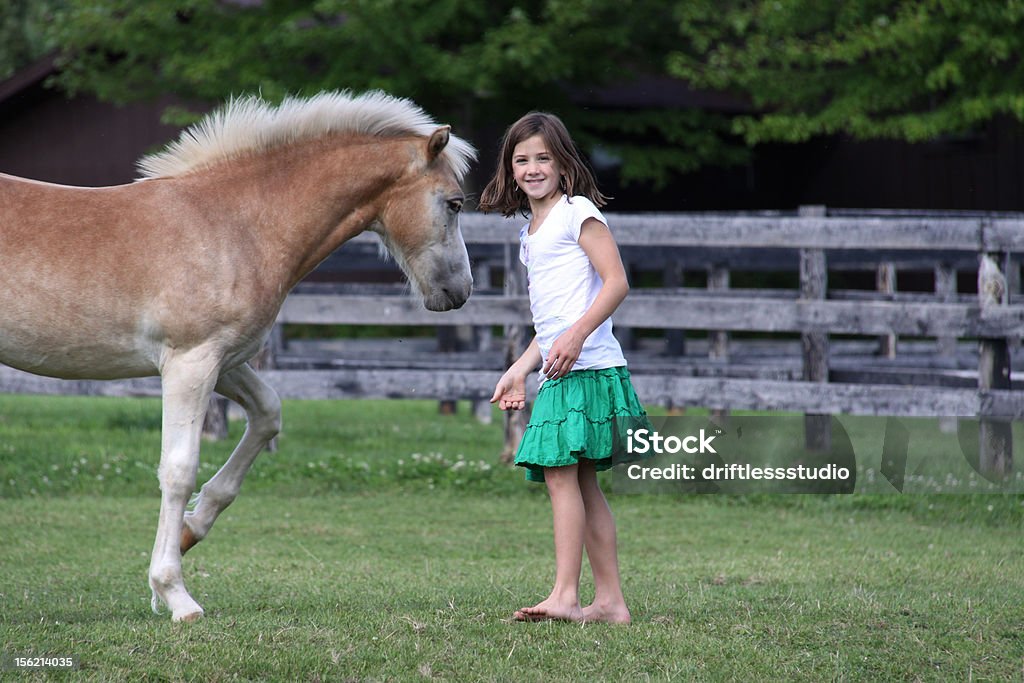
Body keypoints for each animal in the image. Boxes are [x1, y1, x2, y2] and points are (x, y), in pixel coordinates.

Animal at [0, 92, 477, 626]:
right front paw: (175, 595)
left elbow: (267, 416)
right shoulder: (190, 363)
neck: (234, 223)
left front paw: (190, 533)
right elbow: (178, 469)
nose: (460, 291)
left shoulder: (226, 362)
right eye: (454, 203)